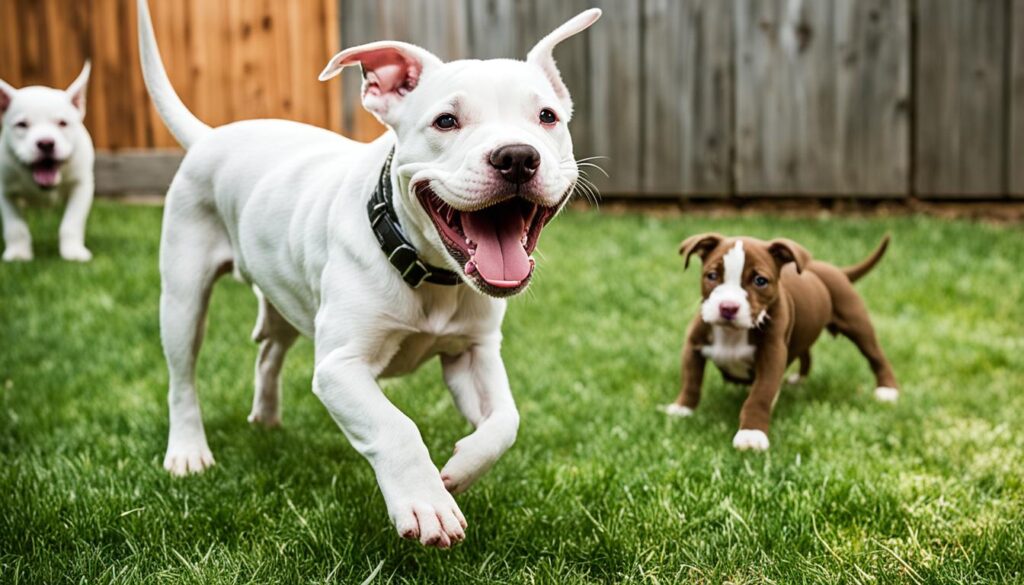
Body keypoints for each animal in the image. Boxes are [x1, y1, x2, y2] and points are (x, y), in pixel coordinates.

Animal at [0, 63, 95, 262]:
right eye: (22, 124)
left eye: (62, 123)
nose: (45, 143)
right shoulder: (5, 191)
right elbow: (15, 226)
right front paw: (18, 254)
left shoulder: (82, 185)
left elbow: (72, 222)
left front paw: (73, 252)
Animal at [137, 0, 598, 549]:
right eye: (446, 121)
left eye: (547, 117)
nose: (517, 156)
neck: (428, 270)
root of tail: (211, 137)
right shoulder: (340, 367)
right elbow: (395, 427)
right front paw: (425, 503)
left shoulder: (475, 353)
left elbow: (506, 420)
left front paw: (460, 468)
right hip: (183, 296)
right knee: (182, 375)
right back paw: (188, 452)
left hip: (284, 297)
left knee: (269, 353)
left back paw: (266, 419)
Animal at [663, 235, 897, 450]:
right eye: (712, 276)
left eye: (760, 281)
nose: (728, 307)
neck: (732, 333)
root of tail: (833, 269)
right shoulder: (693, 346)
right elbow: (691, 380)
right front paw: (683, 408)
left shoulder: (772, 355)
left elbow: (760, 394)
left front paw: (751, 433)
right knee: (805, 352)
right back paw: (798, 380)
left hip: (855, 320)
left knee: (875, 354)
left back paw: (887, 389)